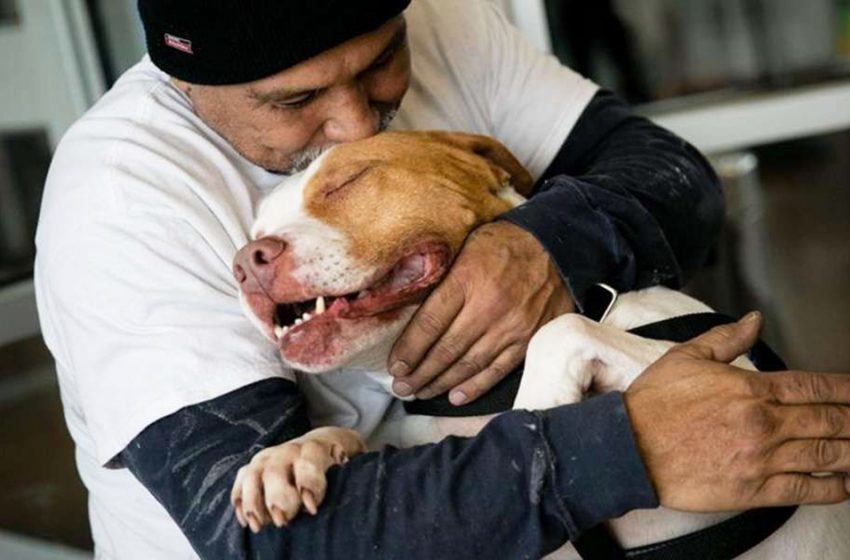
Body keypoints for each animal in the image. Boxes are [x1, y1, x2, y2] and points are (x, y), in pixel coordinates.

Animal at [230, 130, 848, 556]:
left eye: (347, 181)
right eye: (254, 230)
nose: (247, 260)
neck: (478, 398)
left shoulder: (728, 367)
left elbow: (561, 330)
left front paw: (537, 427)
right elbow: (366, 443)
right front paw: (288, 456)